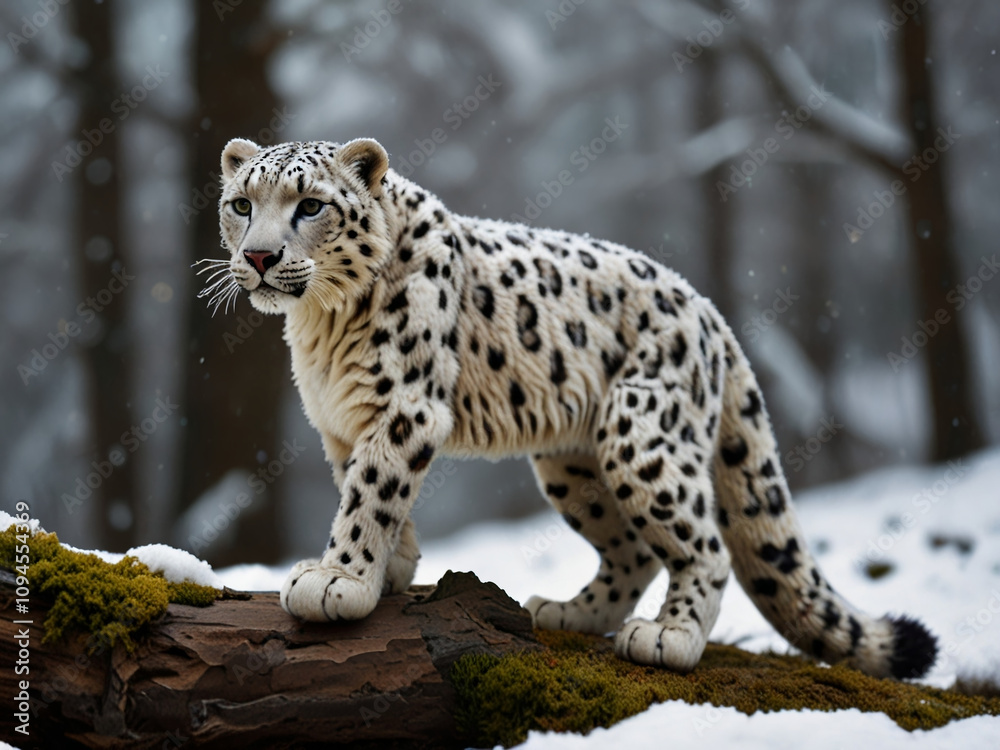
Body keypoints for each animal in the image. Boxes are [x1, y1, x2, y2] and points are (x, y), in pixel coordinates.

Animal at [201, 136, 937, 679]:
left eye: (309, 206)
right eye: (240, 204)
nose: (259, 255)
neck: (321, 324)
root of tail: (711, 314)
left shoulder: (407, 405)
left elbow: (371, 492)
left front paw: (338, 580)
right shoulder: (341, 422)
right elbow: (366, 488)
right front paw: (390, 571)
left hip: (640, 431)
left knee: (702, 544)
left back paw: (668, 637)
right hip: (570, 464)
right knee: (632, 550)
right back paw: (566, 612)